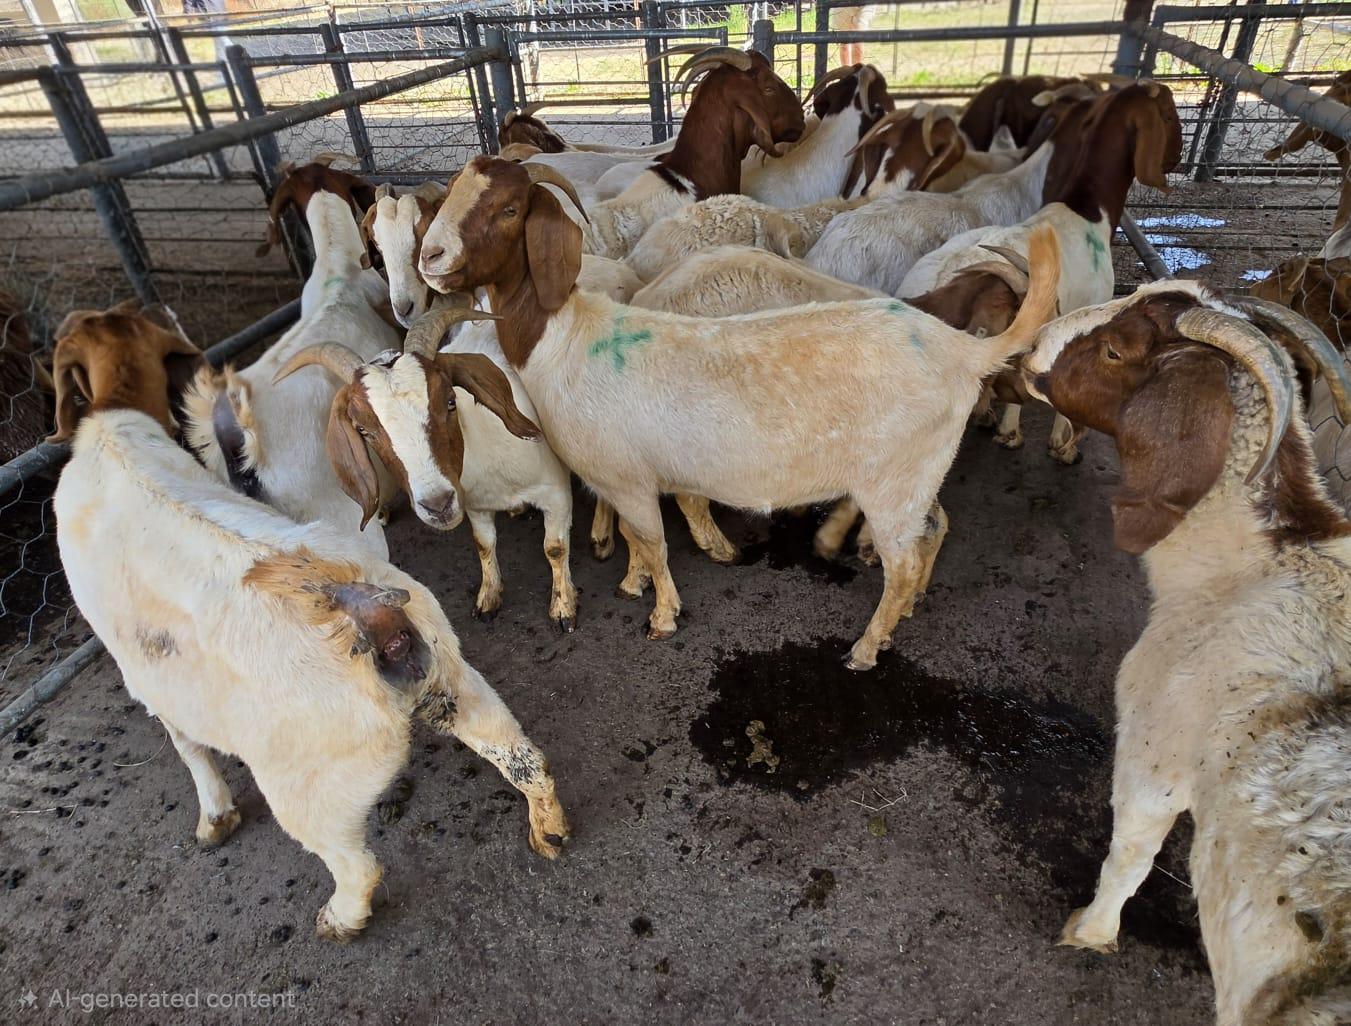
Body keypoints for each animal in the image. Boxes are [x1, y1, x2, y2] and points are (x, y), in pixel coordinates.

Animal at [275, 308, 581, 631]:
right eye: (364, 430)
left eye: (450, 401)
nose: (437, 505)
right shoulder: (475, 505)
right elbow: (484, 544)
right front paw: (489, 597)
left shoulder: (556, 493)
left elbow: (554, 548)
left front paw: (563, 608)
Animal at [418, 157, 1062, 670]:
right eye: (451, 192)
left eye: (507, 208)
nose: (430, 256)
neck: (564, 338)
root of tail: (964, 350)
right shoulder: (624, 478)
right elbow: (634, 537)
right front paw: (632, 583)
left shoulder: (627, 478)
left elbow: (653, 540)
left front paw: (662, 615)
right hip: (916, 476)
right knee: (931, 533)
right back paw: (901, 616)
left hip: (893, 480)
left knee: (903, 560)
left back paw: (864, 649)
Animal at [1022, 279, 1351, 1025]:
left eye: (1116, 351)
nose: (1029, 352)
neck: (1251, 564)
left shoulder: (1156, 740)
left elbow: (1131, 850)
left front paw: (1089, 932)